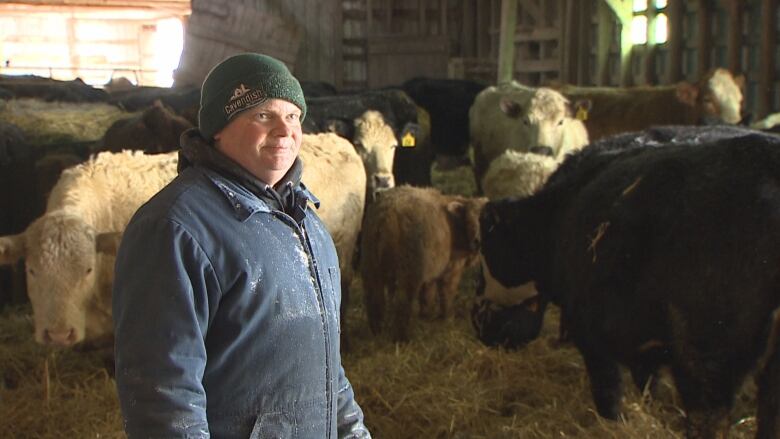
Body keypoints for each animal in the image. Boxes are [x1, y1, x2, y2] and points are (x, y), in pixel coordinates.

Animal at [362, 186, 484, 344]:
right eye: (470, 220)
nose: (477, 241)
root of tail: (386, 215)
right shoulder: (451, 268)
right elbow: (446, 294)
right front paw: (447, 319)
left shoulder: (431, 270)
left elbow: (427, 294)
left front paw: (426, 316)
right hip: (410, 267)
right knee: (403, 303)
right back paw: (402, 339)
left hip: (371, 262)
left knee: (374, 299)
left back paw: (377, 334)